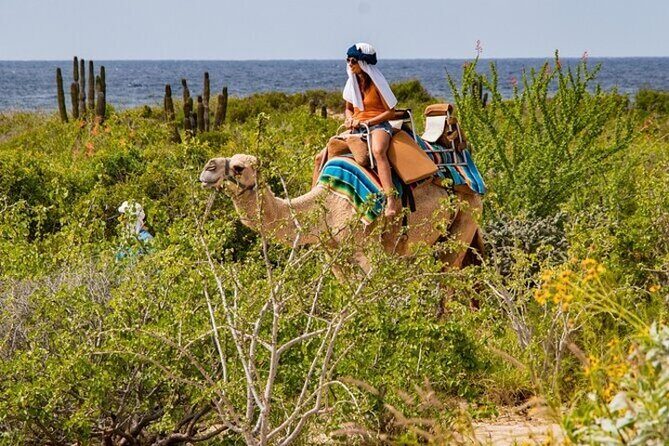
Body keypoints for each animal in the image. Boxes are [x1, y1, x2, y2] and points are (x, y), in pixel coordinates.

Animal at [199, 154, 484, 274]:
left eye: (239, 167)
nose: (207, 169)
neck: (327, 205)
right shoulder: (331, 254)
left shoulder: (365, 250)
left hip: (467, 216)